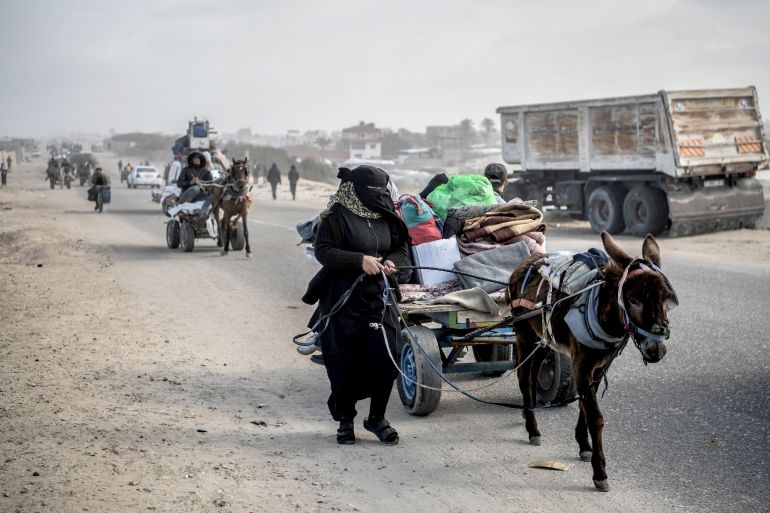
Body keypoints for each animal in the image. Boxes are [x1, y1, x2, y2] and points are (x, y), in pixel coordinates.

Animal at [508, 230, 676, 490]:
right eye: (634, 299)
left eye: (667, 299)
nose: (656, 350)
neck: (602, 312)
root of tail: (526, 262)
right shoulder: (581, 365)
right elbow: (595, 416)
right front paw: (600, 473)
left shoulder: (601, 366)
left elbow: (585, 405)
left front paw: (584, 446)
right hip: (524, 334)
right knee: (524, 377)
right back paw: (533, 430)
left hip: (545, 339)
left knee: (533, 373)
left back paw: (529, 412)